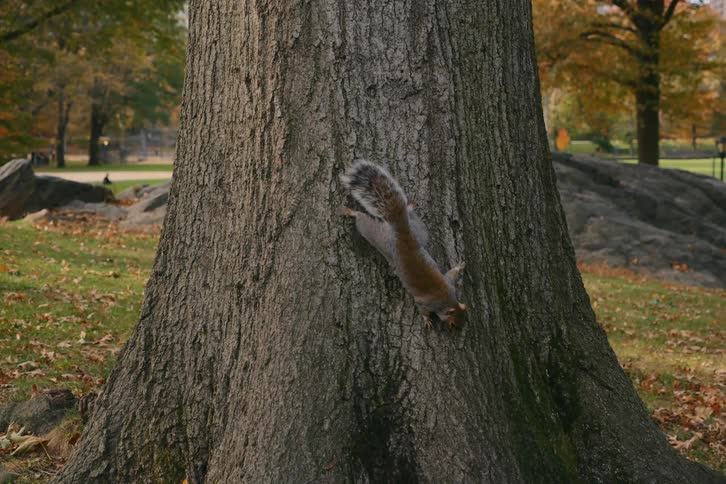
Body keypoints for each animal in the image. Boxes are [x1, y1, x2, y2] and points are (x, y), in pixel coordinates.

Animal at [340, 160, 466, 328]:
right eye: (452, 324)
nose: (457, 329)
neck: (445, 298)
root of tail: (402, 231)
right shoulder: (425, 302)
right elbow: (423, 309)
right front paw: (427, 320)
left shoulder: (449, 283)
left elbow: (451, 273)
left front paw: (460, 266)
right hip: (380, 238)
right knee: (363, 221)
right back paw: (351, 212)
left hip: (419, 231)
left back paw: (409, 206)